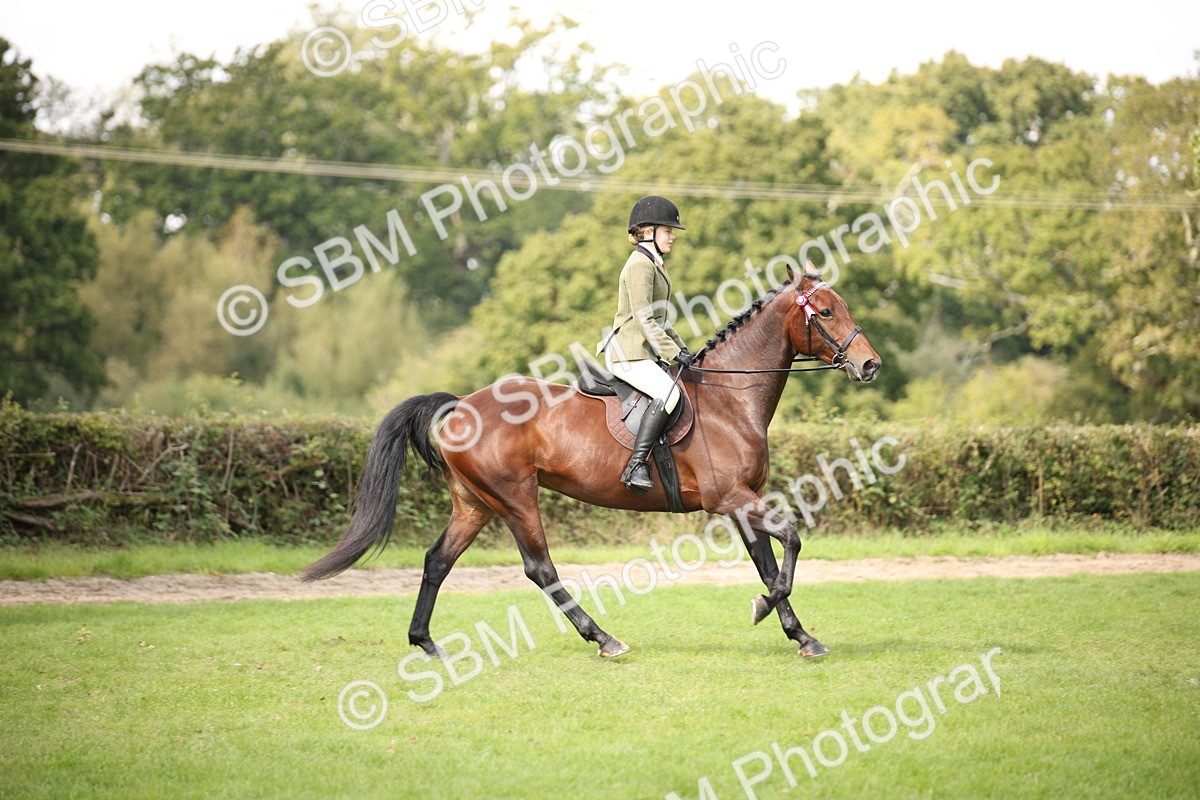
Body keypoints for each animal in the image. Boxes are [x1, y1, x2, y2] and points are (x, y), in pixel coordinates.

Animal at [302, 265, 881, 659]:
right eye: (826, 313)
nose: (870, 365)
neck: (728, 398)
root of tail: (461, 404)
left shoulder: (743, 502)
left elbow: (767, 560)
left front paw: (801, 635)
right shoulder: (731, 498)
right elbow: (791, 541)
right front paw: (766, 610)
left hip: (475, 503)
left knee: (437, 561)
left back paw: (425, 642)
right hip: (515, 498)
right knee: (540, 569)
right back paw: (602, 637)